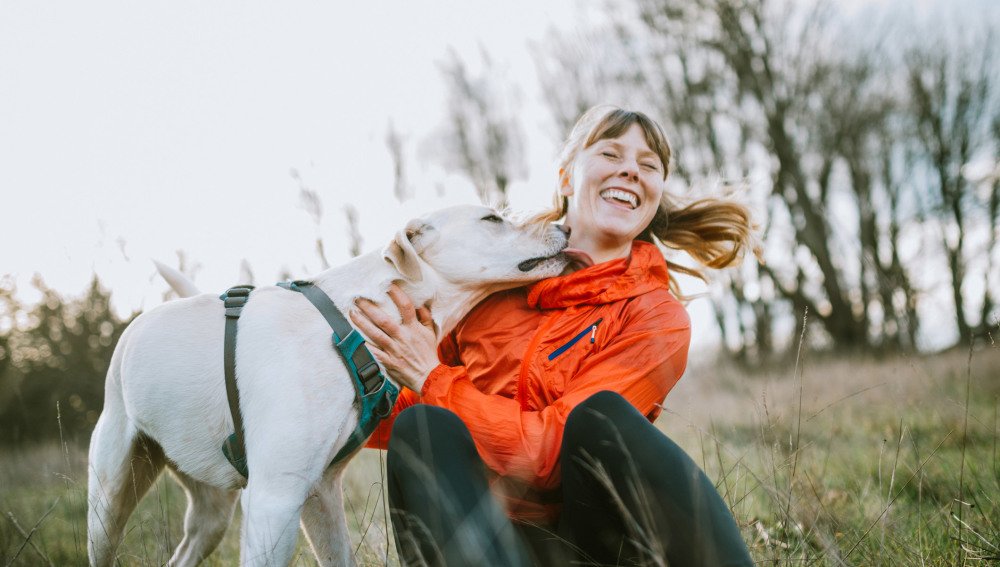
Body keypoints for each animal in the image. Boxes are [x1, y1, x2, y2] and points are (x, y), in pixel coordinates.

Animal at [90, 205, 576, 567]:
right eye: (492, 219)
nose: (566, 226)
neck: (345, 324)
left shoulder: (320, 494)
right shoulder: (275, 499)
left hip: (211, 512)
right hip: (110, 498)